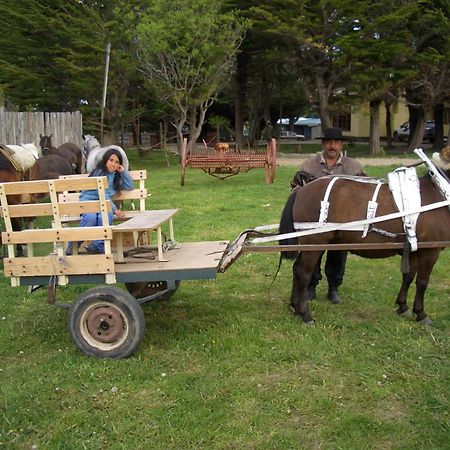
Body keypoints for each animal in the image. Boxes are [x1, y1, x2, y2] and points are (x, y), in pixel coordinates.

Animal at [278, 153, 450, 326]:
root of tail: (300, 189)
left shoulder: (415, 250)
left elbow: (408, 277)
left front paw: (403, 307)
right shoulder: (431, 250)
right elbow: (422, 282)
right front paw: (421, 314)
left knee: (296, 269)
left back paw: (295, 306)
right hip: (314, 243)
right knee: (303, 273)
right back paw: (305, 314)